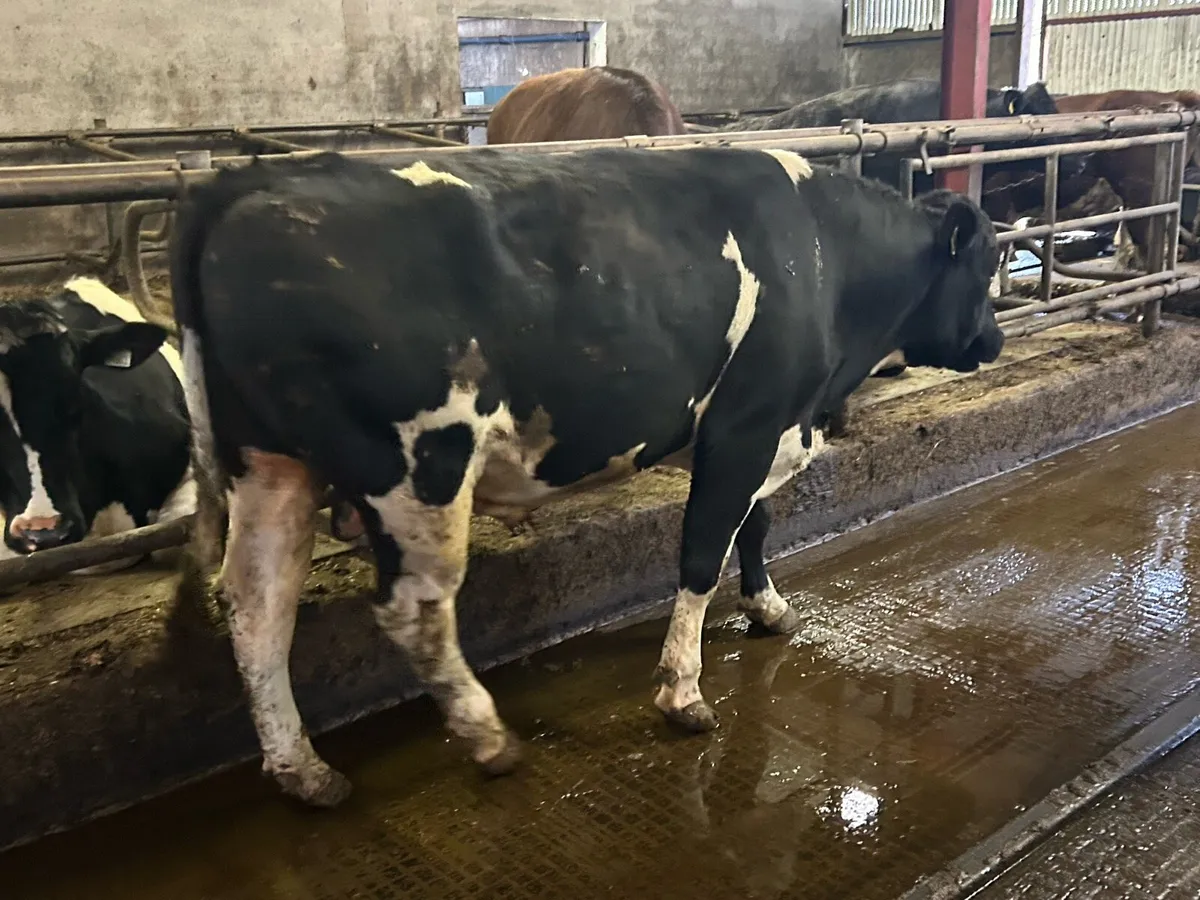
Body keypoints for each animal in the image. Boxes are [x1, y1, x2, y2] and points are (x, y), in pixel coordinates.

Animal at [170, 147, 1003, 807]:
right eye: (987, 267)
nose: (994, 341)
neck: (827, 257)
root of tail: (252, 180)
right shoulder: (747, 423)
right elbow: (702, 551)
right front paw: (683, 692)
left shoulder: (758, 430)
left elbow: (755, 524)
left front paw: (769, 608)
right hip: (418, 467)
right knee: (415, 607)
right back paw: (487, 738)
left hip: (269, 465)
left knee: (259, 606)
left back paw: (302, 770)